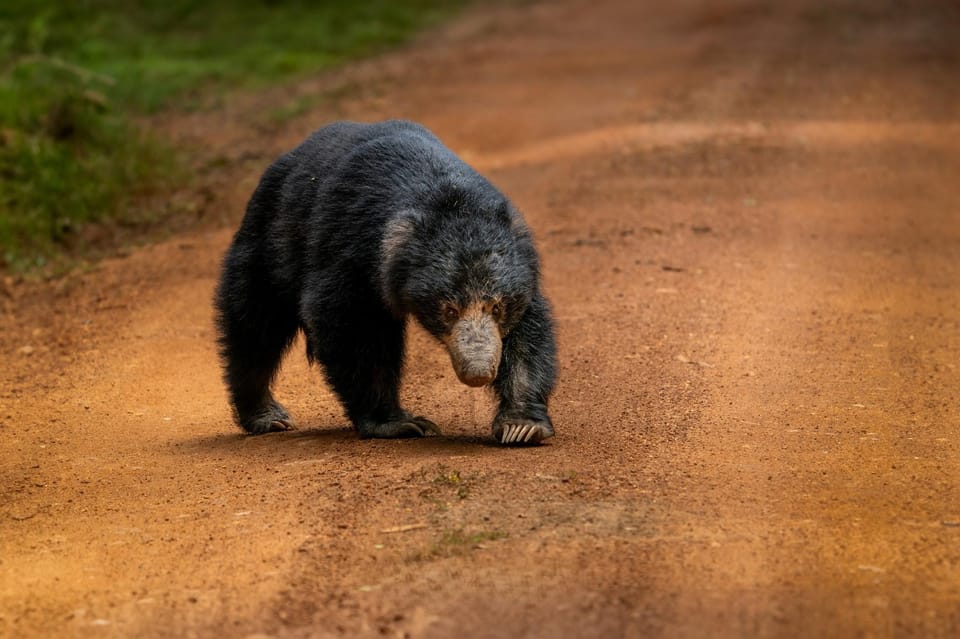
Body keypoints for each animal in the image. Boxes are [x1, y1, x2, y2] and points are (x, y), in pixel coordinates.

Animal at [210, 119, 556, 444]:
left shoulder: (521, 272)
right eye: (449, 310)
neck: (446, 198)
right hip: (268, 244)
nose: (478, 372)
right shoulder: (352, 254)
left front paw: (522, 426)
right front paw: (399, 423)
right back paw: (267, 416)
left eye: (496, 307)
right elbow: (354, 328)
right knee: (254, 325)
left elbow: (527, 334)